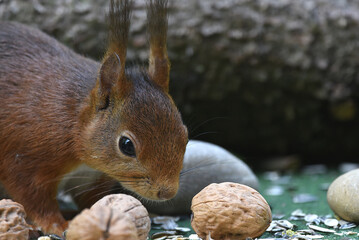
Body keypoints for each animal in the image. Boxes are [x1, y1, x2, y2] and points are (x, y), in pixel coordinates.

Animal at [0, 0, 188, 234]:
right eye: (126, 145)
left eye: (185, 134)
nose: (167, 192)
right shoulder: (24, 157)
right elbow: (34, 197)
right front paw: (56, 225)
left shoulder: (93, 178)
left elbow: (90, 200)